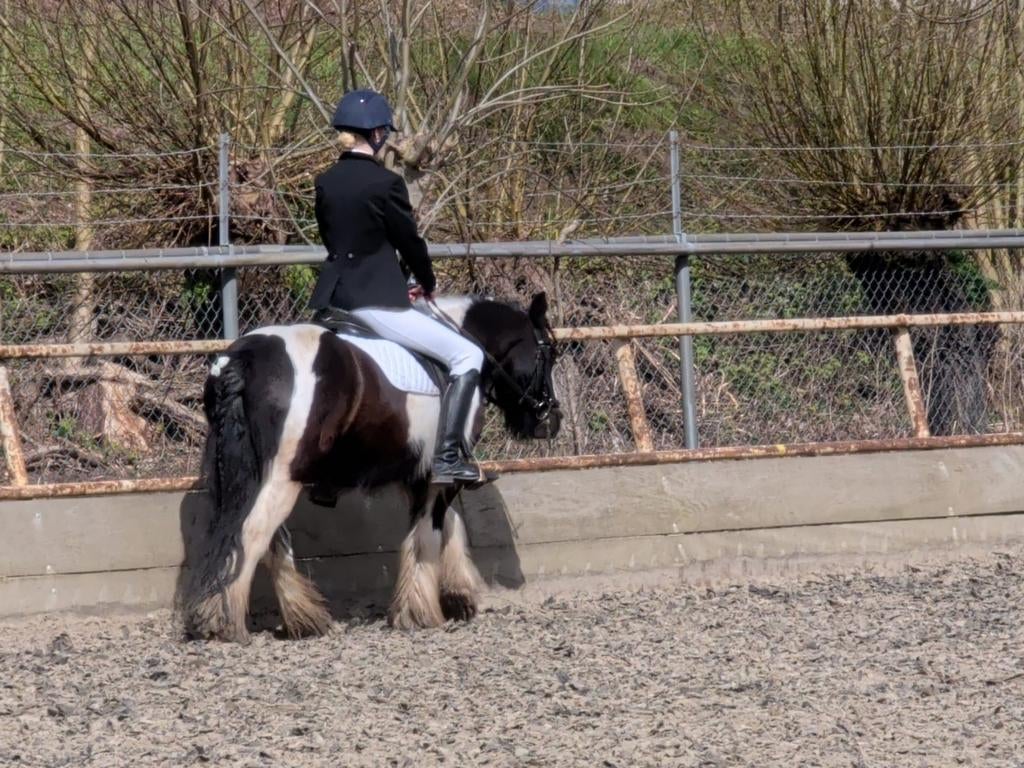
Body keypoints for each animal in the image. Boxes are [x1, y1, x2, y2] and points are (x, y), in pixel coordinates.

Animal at [182, 292, 562, 643]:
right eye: (550, 354)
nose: (551, 421)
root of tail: (242, 358)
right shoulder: (441, 475)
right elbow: (430, 535)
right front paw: (422, 611)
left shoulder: (417, 475)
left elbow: (449, 526)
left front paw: (457, 595)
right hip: (281, 477)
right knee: (251, 534)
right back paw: (227, 623)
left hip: (262, 475)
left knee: (268, 540)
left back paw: (302, 618)